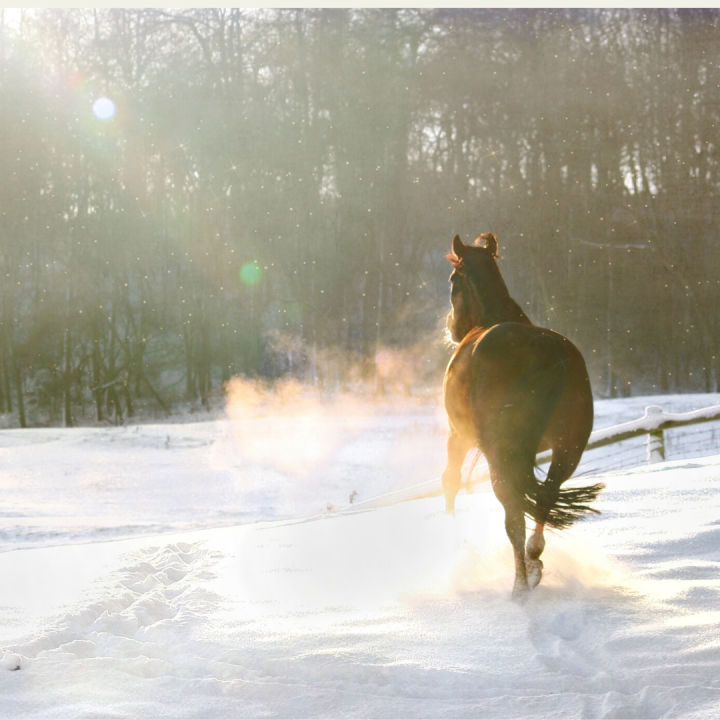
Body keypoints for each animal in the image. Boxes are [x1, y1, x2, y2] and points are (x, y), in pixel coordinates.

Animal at [442, 233, 604, 600]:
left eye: (452, 280)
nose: (452, 328)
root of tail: (547, 353)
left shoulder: (458, 436)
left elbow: (450, 481)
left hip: (500, 453)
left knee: (514, 514)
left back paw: (520, 587)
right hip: (568, 449)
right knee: (546, 496)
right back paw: (534, 559)